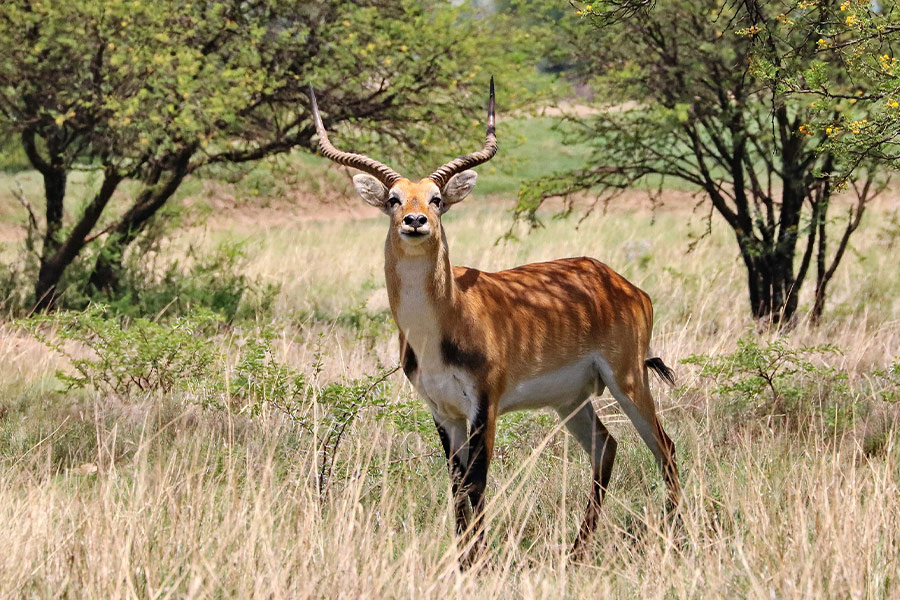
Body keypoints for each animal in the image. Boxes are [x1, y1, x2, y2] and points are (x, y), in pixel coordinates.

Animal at [309, 78, 680, 563]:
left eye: (437, 198)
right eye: (393, 198)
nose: (415, 220)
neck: (445, 322)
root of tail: (621, 283)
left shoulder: (484, 406)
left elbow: (477, 484)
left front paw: (478, 563)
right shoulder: (443, 412)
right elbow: (456, 487)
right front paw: (463, 559)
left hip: (629, 378)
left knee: (664, 448)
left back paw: (678, 537)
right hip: (571, 399)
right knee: (606, 447)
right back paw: (576, 551)